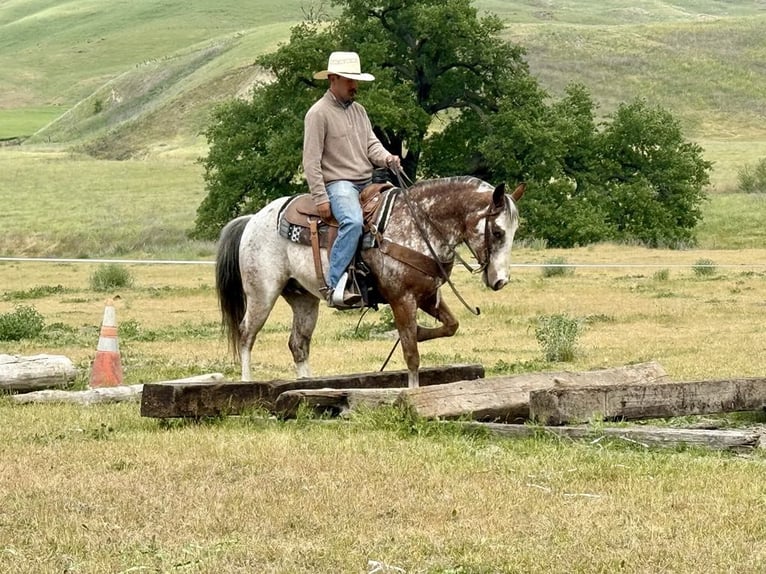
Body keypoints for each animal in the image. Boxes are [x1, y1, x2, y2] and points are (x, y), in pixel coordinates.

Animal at [215, 176, 525, 388]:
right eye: (498, 232)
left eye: (514, 231)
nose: (500, 281)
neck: (418, 226)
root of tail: (253, 218)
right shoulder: (402, 299)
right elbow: (411, 355)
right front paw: (413, 392)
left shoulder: (427, 296)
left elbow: (450, 326)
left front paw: (420, 331)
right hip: (262, 293)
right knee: (246, 334)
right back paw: (247, 383)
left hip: (303, 298)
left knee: (298, 344)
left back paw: (307, 386)